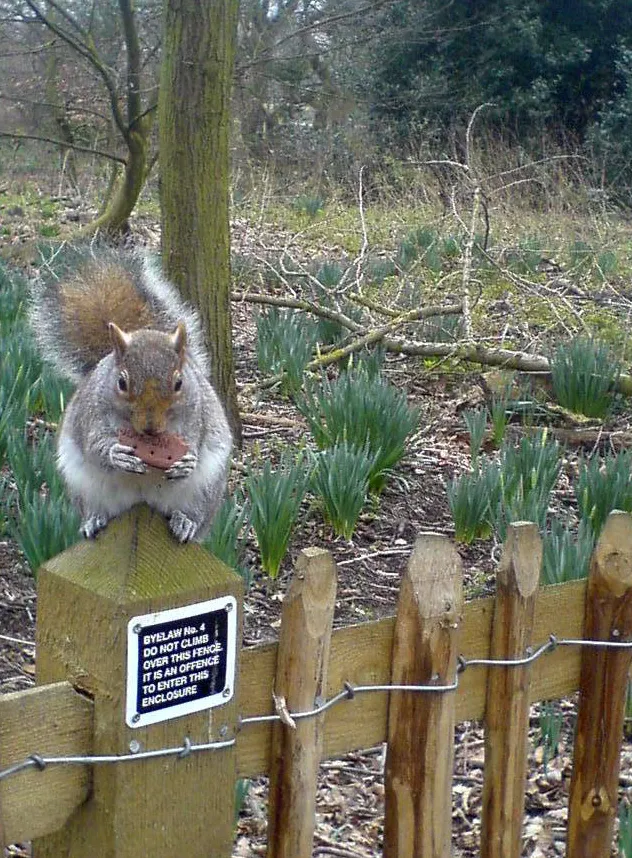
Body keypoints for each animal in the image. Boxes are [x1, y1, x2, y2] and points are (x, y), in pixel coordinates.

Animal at [30, 245, 232, 543]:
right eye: (122, 383)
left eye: (179, 383)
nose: (149, 428)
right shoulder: (92, 416)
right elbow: (95, 447)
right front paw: (117, 454)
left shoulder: (198, 416)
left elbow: (196, 439)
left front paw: (187, 461)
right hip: (83, 487)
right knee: (95, 507)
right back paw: (94, 520)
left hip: (205, 490)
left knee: (194, 512)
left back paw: (186, 522)